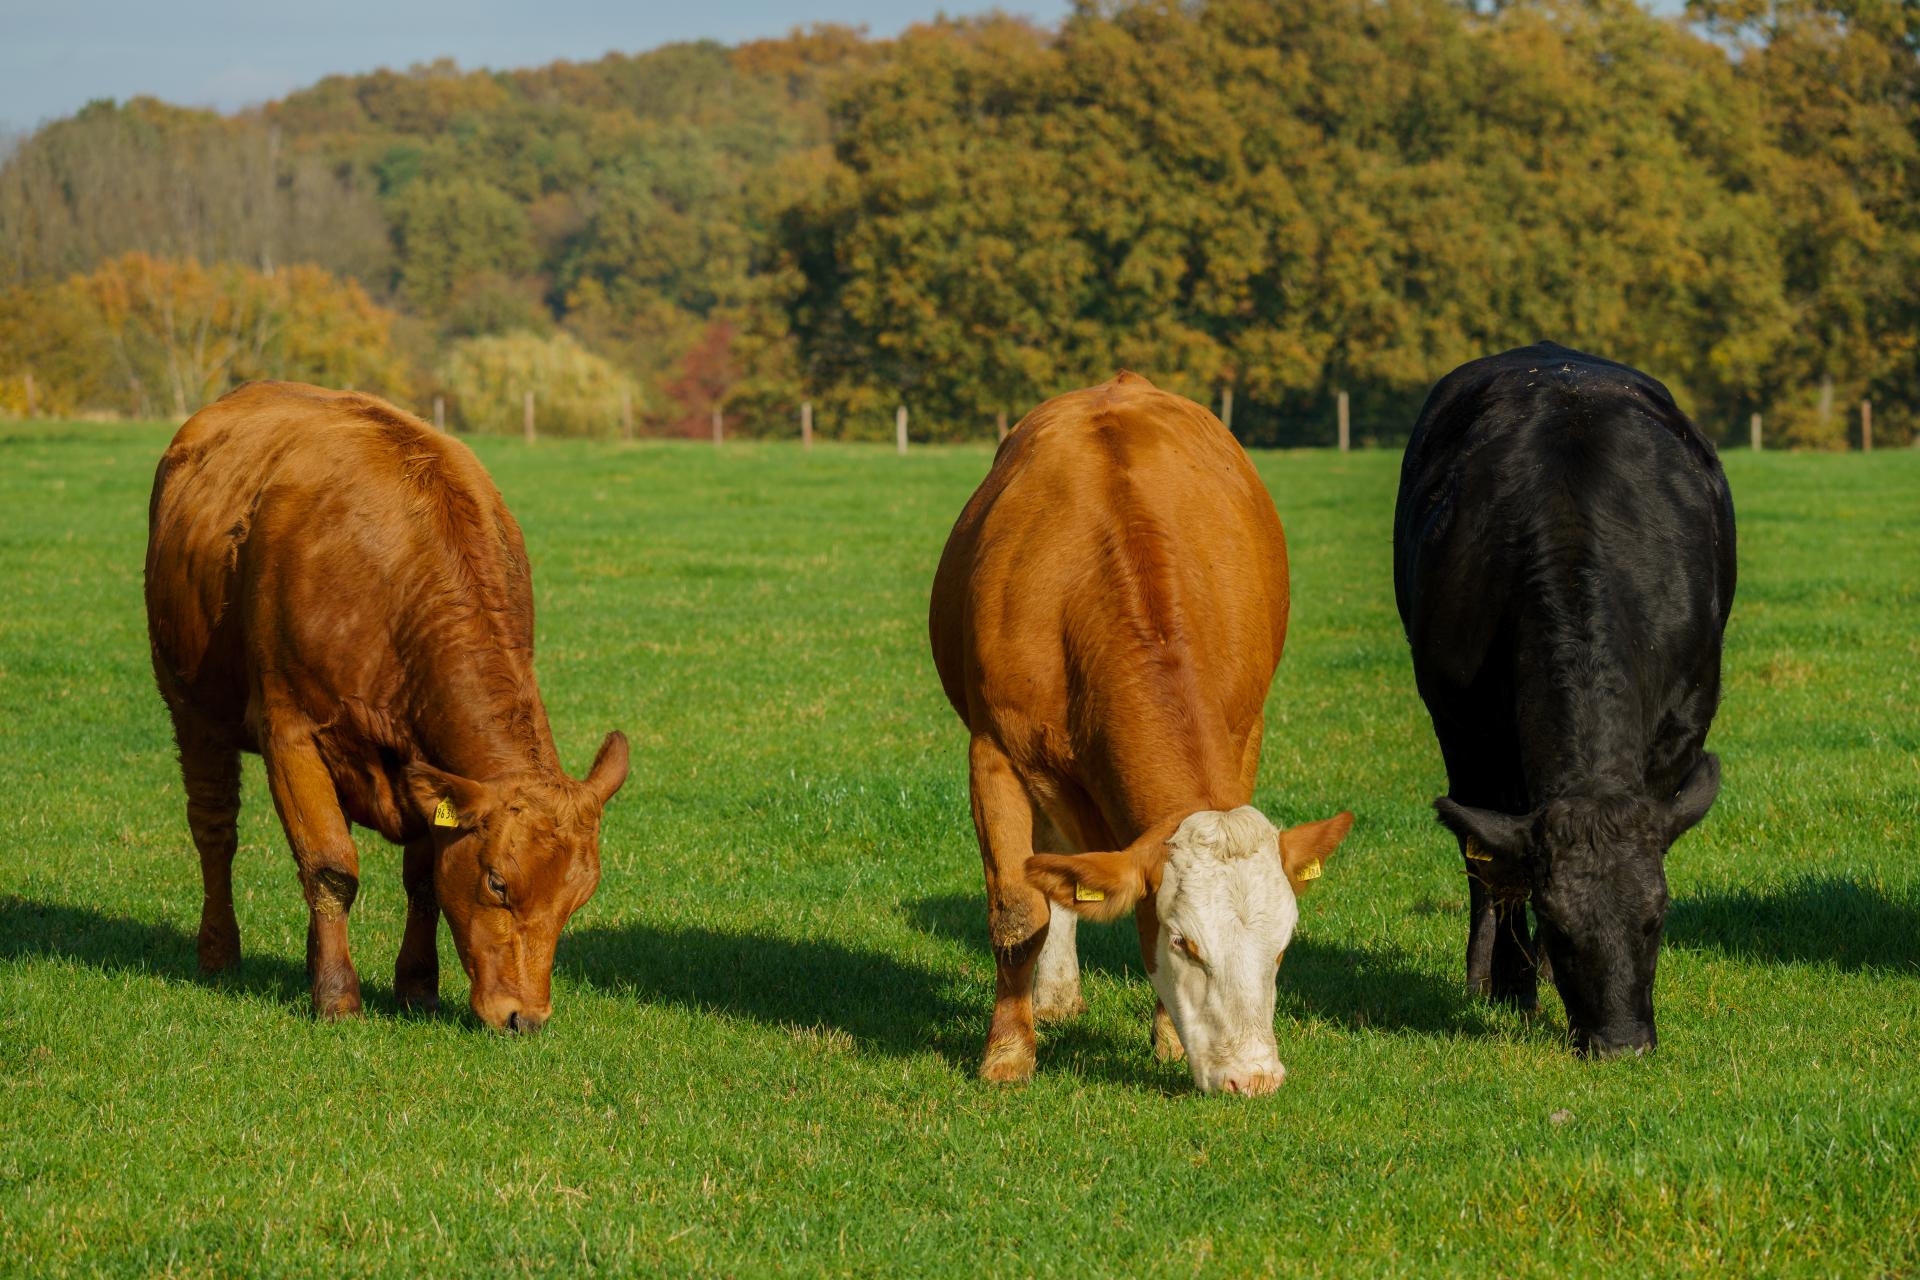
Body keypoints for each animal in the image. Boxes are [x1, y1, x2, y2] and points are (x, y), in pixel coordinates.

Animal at [151, 379, 629, 1028]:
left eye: (579, 896)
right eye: (498, 883)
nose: (524, 1017)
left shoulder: (426, 767)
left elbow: (422, 880)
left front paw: (417, 987)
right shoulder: (290, 732)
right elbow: (330, 866)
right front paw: (336, 997)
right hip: (191, 707)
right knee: (215, 830)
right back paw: (221, 953)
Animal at [925, 376, 1351, 1097]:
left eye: (1283, 947)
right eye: (1184, 942)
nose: (1254, 1078)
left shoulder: (1245, 732)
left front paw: (1168, 1038)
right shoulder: (994, 752)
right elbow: (1018, 910)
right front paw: (1008, 1053)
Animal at [1397, 343, 1743, 1059]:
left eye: (1657, 917)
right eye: (1556, 921)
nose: (1621, 1044)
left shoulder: (1684, 720)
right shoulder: (1468, 728)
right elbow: (1497, 867)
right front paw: (1513, 984)